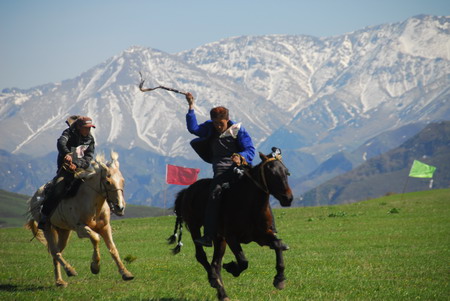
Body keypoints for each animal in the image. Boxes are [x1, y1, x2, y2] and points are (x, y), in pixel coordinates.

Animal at [26, 151, 134, 284]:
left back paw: (60, 281)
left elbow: (113, 249)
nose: (120, 207)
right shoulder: (80, 229)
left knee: (57, 252)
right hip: (47, 228)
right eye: (108, 182)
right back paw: (70, 270)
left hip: (63, 231)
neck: (92, 204)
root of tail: (35, 197)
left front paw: (125, 273)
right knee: (55, 252)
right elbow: (95, 238)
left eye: (123, 181)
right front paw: (95, 267)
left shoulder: (105, 227)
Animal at [167, 150, 294, 300]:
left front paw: (279, 279)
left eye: (286, 172)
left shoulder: (261, 236)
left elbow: (277, 244)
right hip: (195, 227)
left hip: (219, 239)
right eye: (271, 173)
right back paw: (214, 280)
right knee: (202, 256)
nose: (288, 198)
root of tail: (187, 191)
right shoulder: (231, 237)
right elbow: (243, 261)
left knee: (215, 264)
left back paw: (221, 293)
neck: (249, 204)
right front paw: (232, 268)